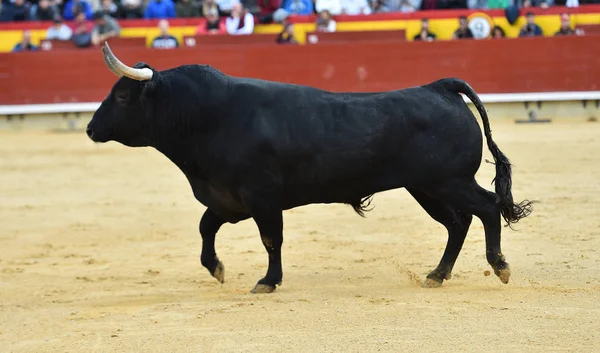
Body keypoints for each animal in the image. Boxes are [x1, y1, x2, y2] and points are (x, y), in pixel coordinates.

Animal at [86, 42, 532, 292]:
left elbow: (271, 239)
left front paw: (267, 281)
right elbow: (205, 227)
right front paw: (217, 269)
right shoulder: (228, 200)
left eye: (122, 96)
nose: (90, 128)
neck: (209, 116)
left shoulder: (262, 199)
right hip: (425, 188)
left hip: (449, 181)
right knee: (457, 223)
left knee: (487, 207)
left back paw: (499, 266)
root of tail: (439, 88)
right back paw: (437, 275)